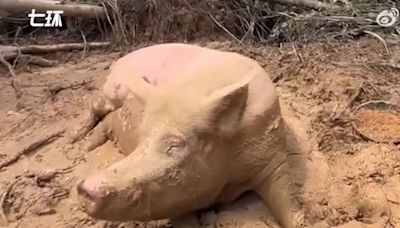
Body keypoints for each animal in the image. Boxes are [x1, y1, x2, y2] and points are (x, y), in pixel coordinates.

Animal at [77, 44, 304, 228]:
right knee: (94, 106)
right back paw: (78, 139)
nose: (85, 188)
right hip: (109, 91)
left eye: (175, 146)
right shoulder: (178, 197)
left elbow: (289, 203)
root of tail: (119, 61)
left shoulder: (274, 158)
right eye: (142, 140)